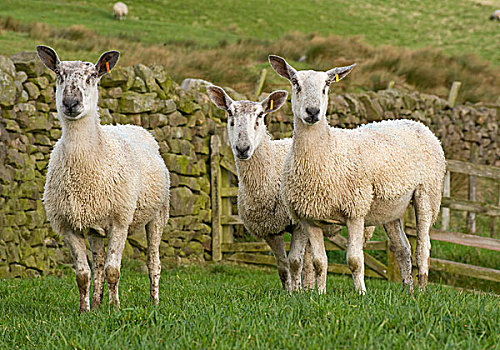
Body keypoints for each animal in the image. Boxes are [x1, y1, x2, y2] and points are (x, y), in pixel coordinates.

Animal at [36, 45, 170, 312]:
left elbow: (113, 271)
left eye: (92, 76)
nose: (71, 103)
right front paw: (84, 311)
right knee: (97, 265)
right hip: (94, 225)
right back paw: (97, 305)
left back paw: (154, 301)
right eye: (59, 75)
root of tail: (129, 124)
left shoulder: (120, 221)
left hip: (158, 214)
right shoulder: (69, 226)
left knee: (153, 261)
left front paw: (115, 308)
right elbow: (83, 274)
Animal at [270, 55, 446, 296]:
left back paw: (421, 289)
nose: (313, 112)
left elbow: (354, 260)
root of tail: (416, 123)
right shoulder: (310, 217)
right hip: (391, 208)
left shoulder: (355, 211)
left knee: (423, 248)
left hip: (427, 194)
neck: (327, 153)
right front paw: (319, 294)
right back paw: (406, 289)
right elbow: (319, 262)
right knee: (402, 248)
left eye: (326, 85)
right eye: (295, 83)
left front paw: (361, 293)